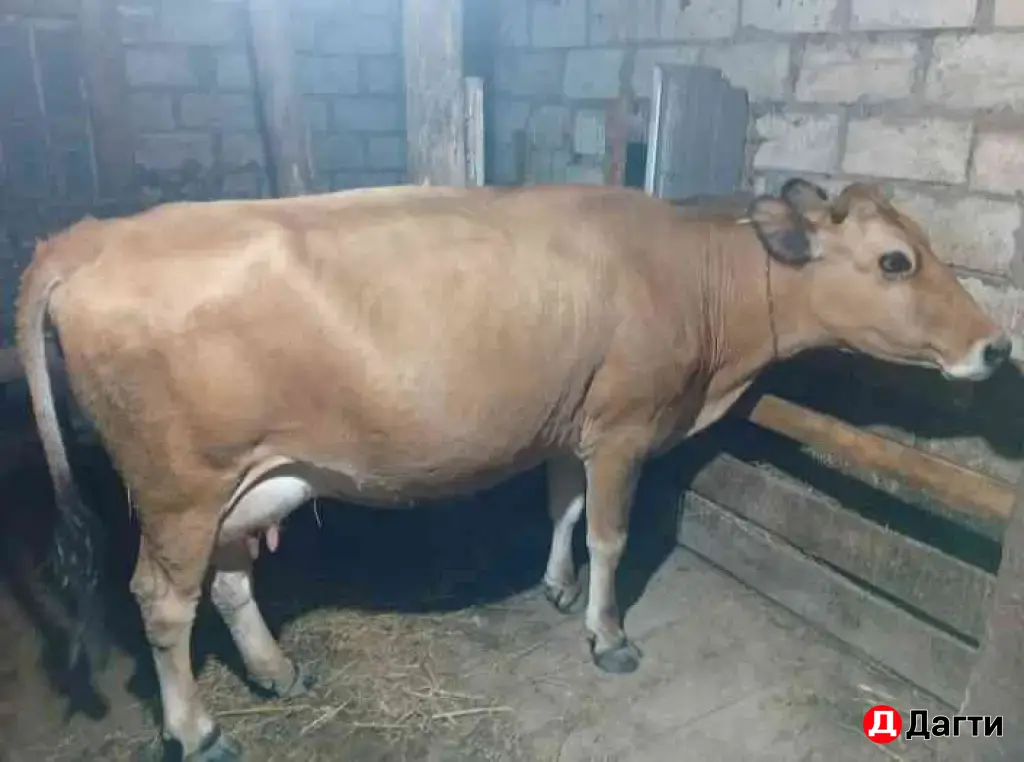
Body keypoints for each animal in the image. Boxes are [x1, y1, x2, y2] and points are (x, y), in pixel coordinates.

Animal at [15, 179, 1010, 761]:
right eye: (895, 260)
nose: (997, 348)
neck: (696, 275)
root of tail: (86, 236)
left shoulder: (570, 421)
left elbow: (563, 511)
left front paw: (557, 588)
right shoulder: (624, 426)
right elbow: (612, 535)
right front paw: (608, 635)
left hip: (243, 483)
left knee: (224, 584)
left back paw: (276, 670)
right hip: (180, 487)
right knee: (161, 602)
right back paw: (197, 729)